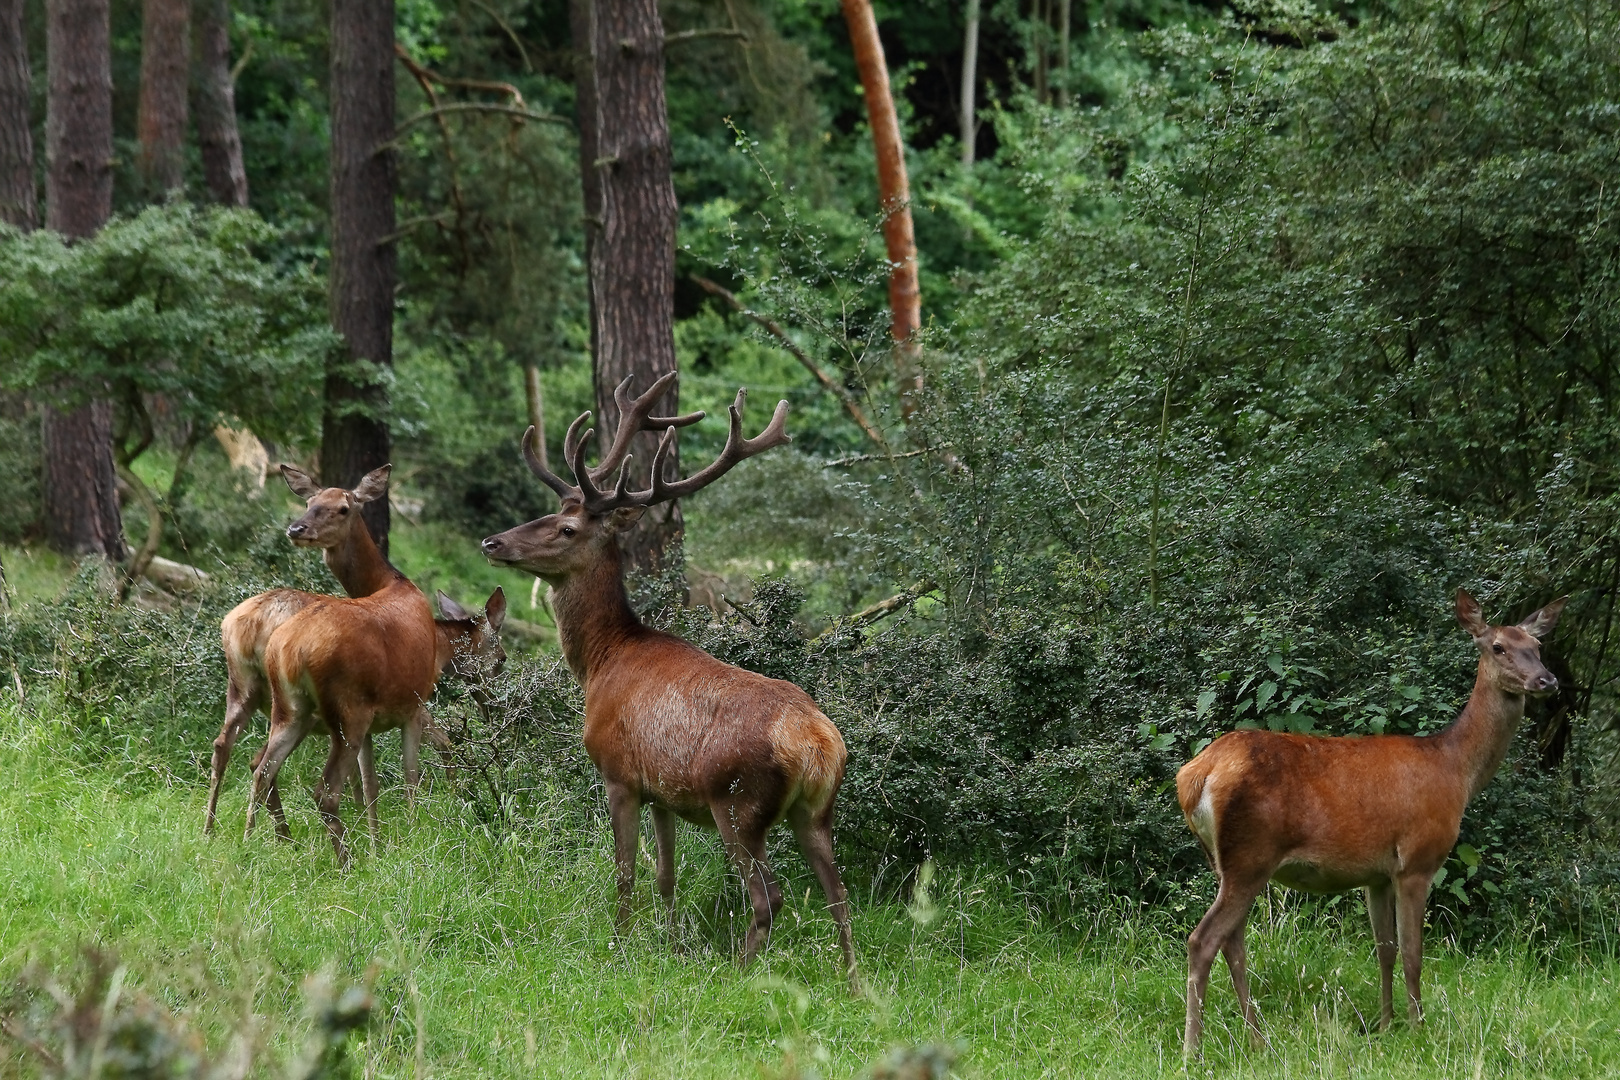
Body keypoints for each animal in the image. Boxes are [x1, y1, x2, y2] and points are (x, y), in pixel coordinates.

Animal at [476, 375, 861, 990]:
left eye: (566, 528)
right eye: (549, 512)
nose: (493, 542)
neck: (603, 660)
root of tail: (818, 745)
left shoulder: (619, 772)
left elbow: (626, 871)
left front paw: (618, 945)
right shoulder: (663, 791)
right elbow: (665, 875)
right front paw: (671, 945)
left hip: (739, 803)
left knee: (770, 896)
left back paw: (739, 974)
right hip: (817, 810)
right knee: (839, 895)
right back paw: (854, 985)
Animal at [1179, 592, 1568, 1055]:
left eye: (1538, 646)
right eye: (1498, 647)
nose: (1547, 681)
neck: (1455, 770)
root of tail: (1196, 776)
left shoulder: (1377, 874)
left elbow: (1385, 949)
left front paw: (1384, 1026)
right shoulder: (1418, 859)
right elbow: (1414, 953)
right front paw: (1418, 1030)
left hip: (1222, 861)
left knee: (1232, 941)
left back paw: (1257, 1040)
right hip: (1251, 855)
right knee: (1203, 939)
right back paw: (1193, 1049)